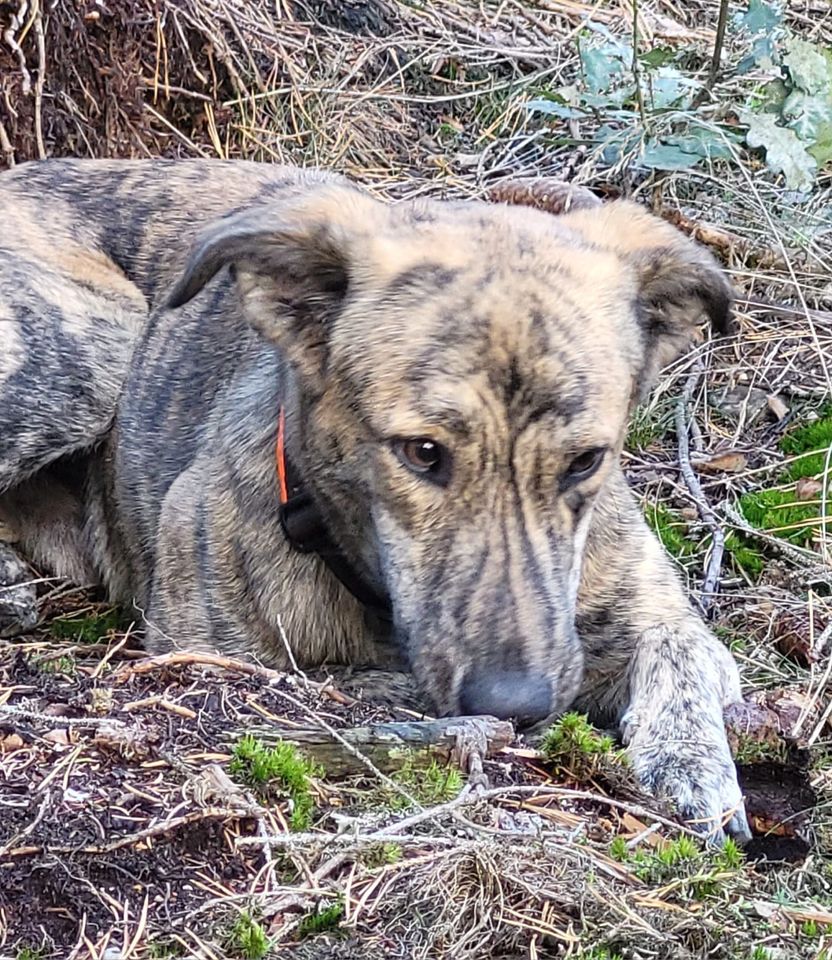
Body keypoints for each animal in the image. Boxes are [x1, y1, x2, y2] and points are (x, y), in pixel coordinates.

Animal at [0, 156, 752, 840]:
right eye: (422, 452)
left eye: (585, 461)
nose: (517, 704)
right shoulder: (198, 652)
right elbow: (333, 681)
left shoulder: (658, 613)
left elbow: (683, 651)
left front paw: (693, 770)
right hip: (98, 346)